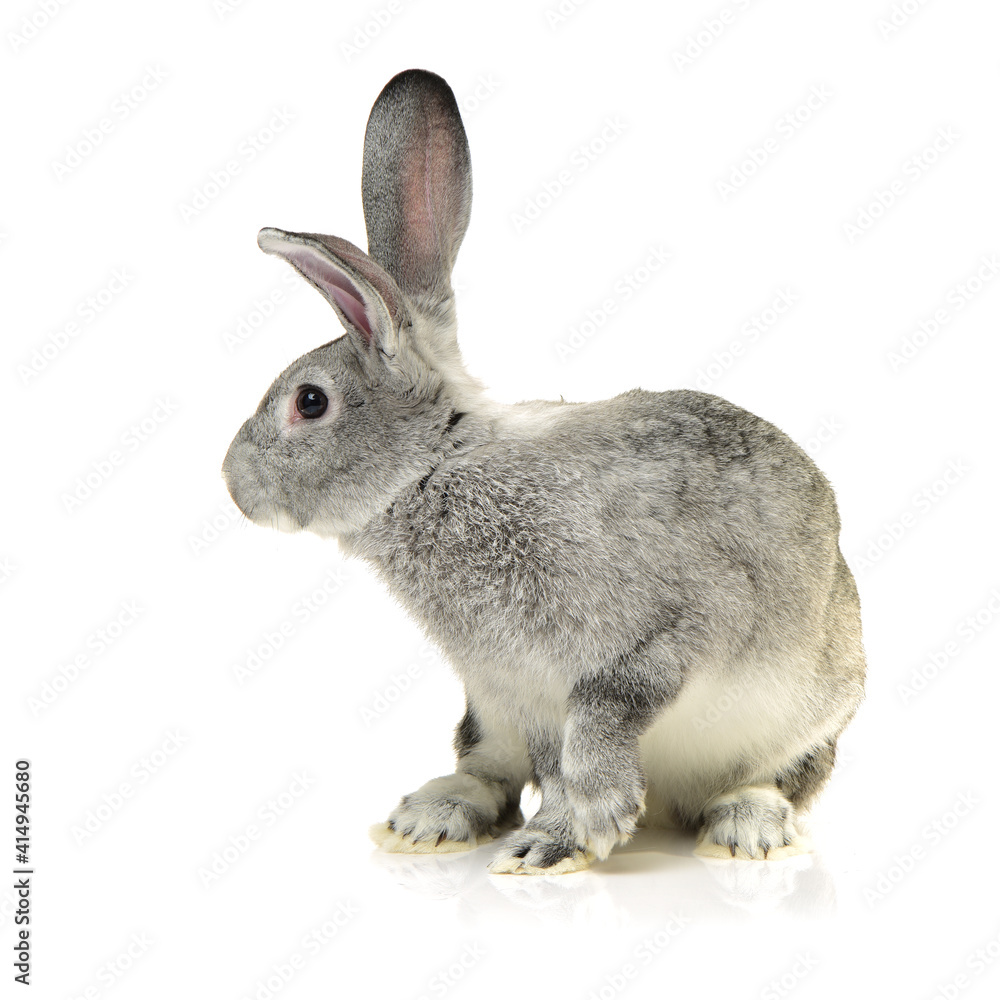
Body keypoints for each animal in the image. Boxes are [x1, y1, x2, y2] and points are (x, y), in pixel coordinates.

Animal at [222, 69, 865, 875]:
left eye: (309, 402)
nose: (233, 486)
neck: (439, 467)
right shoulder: (518, 692)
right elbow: (552, 768)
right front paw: (553, 843)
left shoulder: (670, 634)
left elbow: (601, 723)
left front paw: (580, 831)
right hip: (485, 711)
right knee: (486, 767)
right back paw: (428, 820)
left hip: (805, 713)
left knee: (779, 777)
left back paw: (748, 830)